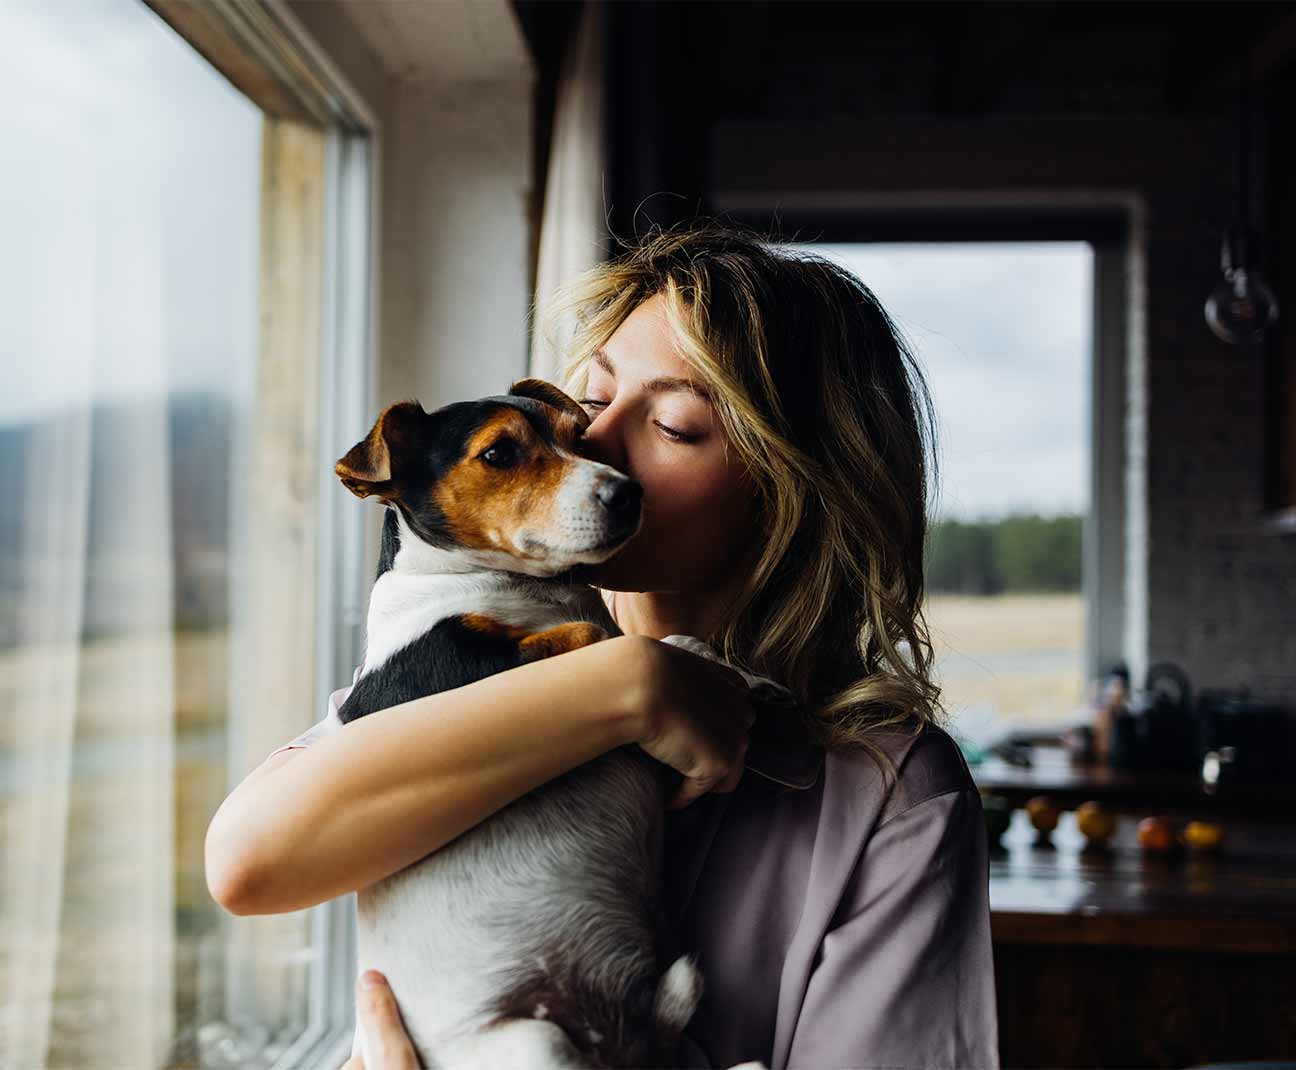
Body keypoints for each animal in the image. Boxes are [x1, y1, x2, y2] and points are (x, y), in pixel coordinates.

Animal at [329, 378, 767, 1062]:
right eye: (499, 454)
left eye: (580, 438)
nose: (628, 491)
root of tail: (614, 1039)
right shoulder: (461, 667)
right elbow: (597, 637)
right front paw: (691, 658)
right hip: (535, 1042)